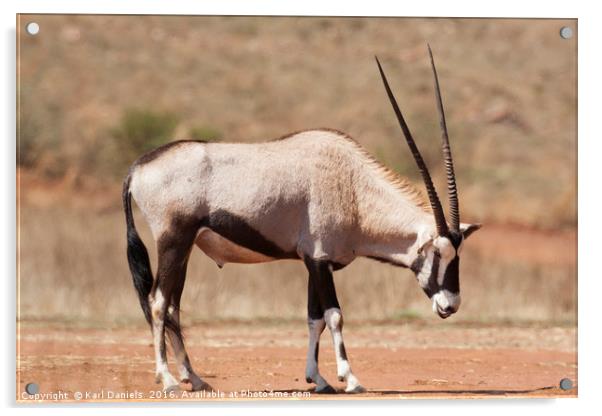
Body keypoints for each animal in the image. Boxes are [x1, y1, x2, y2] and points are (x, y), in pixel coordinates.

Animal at [122, 47, 478, 394]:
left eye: (459, 255)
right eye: (438, 253)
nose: (451, 305)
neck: (352, 188)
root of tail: (137, 168)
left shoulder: (315, 263)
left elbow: (314, 319)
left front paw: (317, 379)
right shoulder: (319, 261)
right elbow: (334, 316)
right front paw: (350, 378)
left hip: (184, 249)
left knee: (172, 307)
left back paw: (194, 378)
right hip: (172, 242)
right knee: (157, 303)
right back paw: (168, 379)